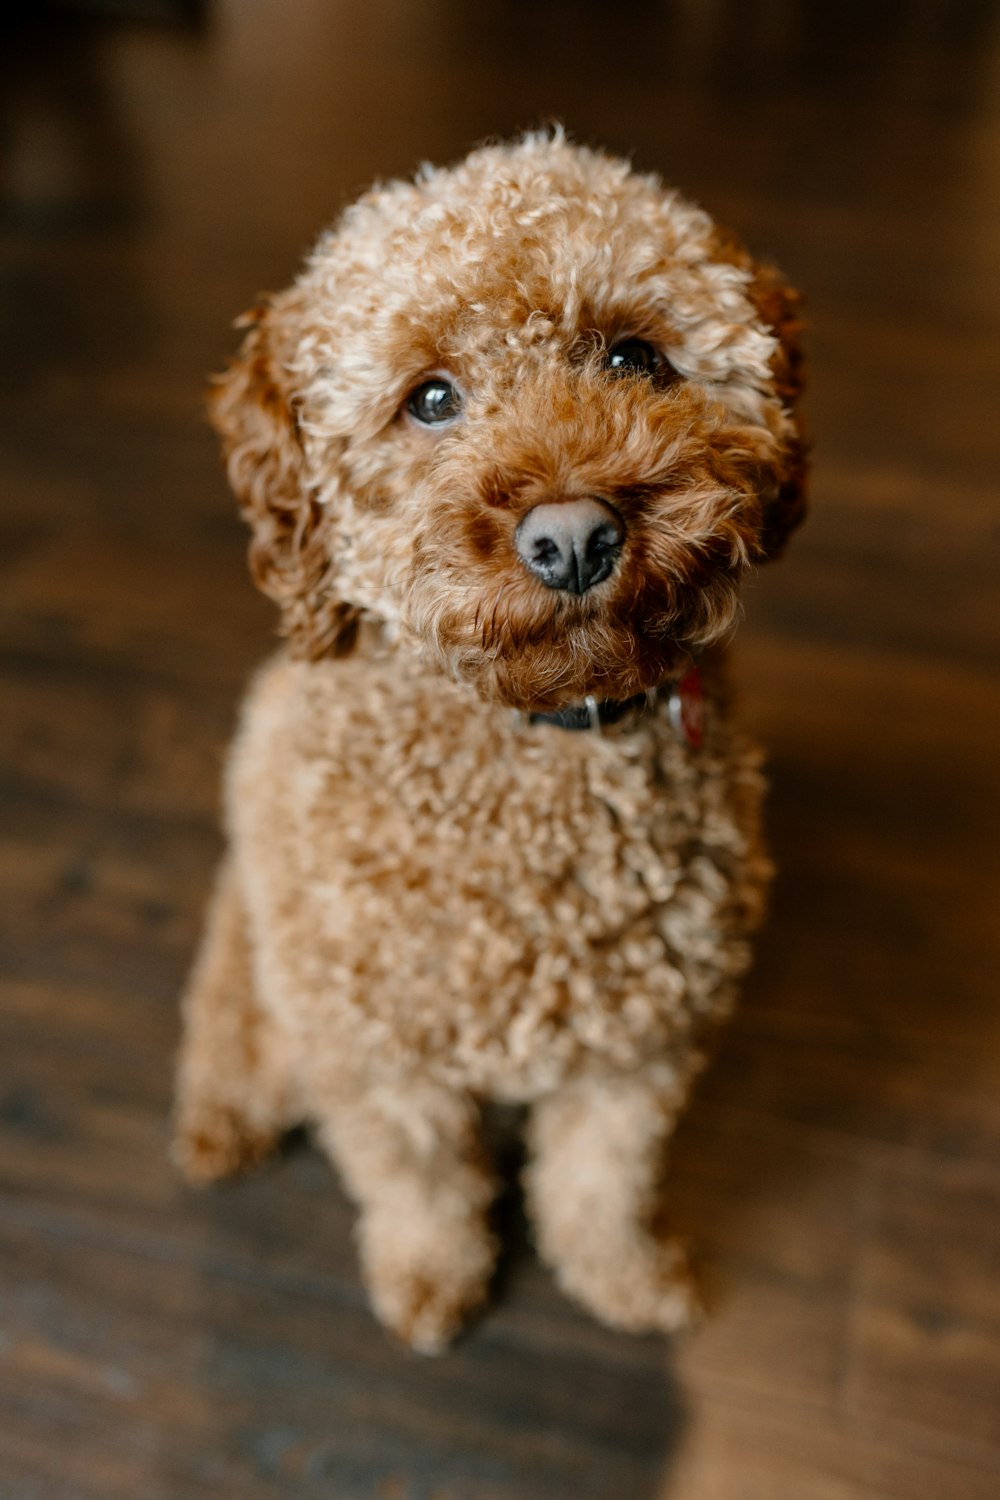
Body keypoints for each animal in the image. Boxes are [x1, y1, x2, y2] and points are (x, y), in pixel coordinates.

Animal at [173, 126, 803, 1350]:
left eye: (634, 358)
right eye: (429, 398)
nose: (573, 538)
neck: (534, 748)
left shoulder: (640, 1044)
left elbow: (602, 1179)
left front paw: (623, 1277)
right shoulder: (378, 1056)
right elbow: (419, 1183)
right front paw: (430, 1283)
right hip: (269, 984)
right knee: (224, 1037)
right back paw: (216, 1127)